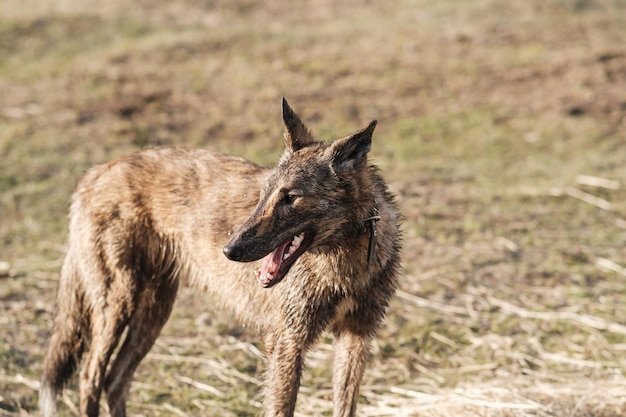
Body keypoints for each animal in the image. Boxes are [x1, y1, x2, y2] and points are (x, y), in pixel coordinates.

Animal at [40, 98, 400, 416]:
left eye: (291, 198)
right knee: (90, 378)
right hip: (118, 306)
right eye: (263, 195)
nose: (230, 251)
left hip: (154, 311)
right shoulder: (287, 343)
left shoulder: (354, 339)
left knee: (115, 381)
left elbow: (346, 407)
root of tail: (94, 172)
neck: (345, 259)